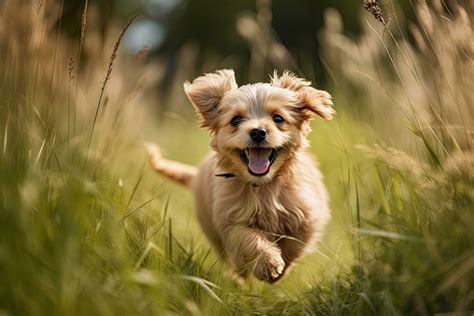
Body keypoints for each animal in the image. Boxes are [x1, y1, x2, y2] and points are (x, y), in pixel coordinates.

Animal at [148, 70, 334, 282]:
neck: (263, 187)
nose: (258, 132)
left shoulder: (307, 214)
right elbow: (248, 238)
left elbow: (296, 242)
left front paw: (282, 265)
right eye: (235, 120)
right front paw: (269, 263)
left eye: (278, 118)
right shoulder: (231, 222)